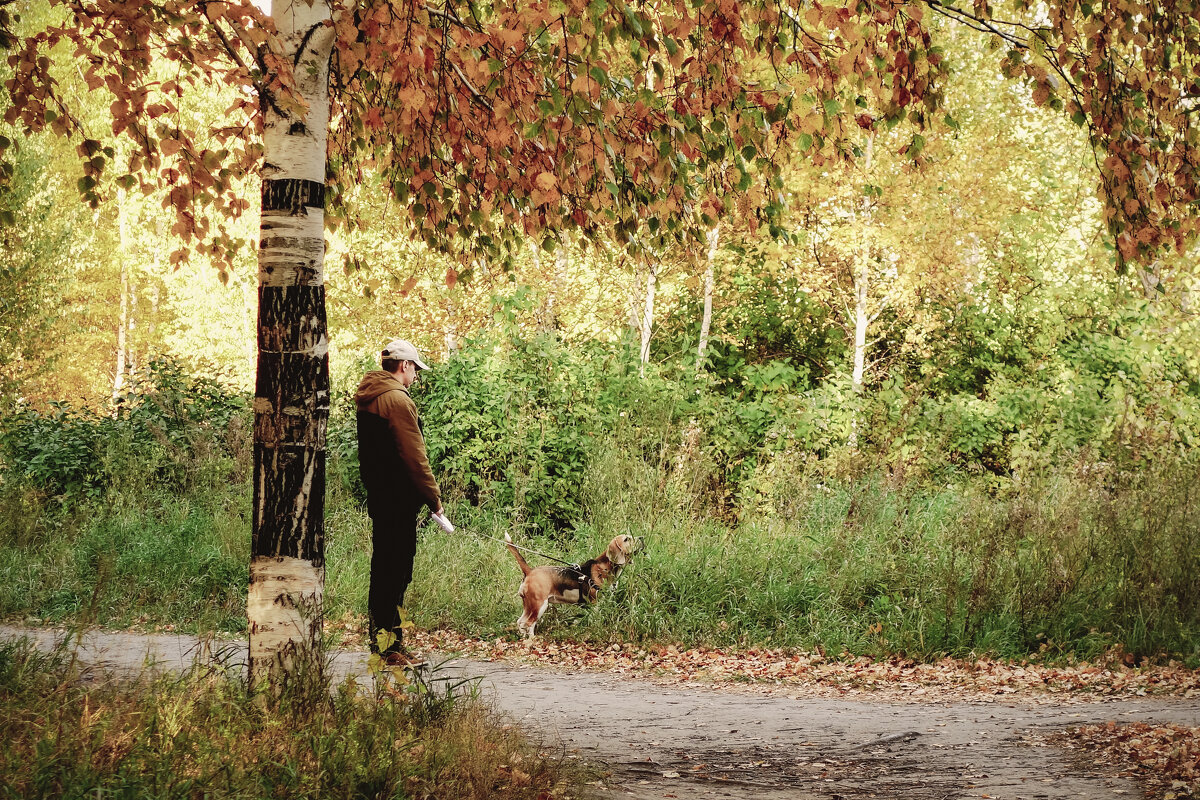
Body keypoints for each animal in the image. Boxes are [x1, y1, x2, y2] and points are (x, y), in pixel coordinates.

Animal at [504, 534, 643, 642]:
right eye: (626, 539)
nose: (642, 538)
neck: (604, 567)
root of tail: (530, 571)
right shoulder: (595, 604)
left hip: (529, 606)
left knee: (520, 622)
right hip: (539, 606)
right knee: (528, 624)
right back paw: (532, 640)